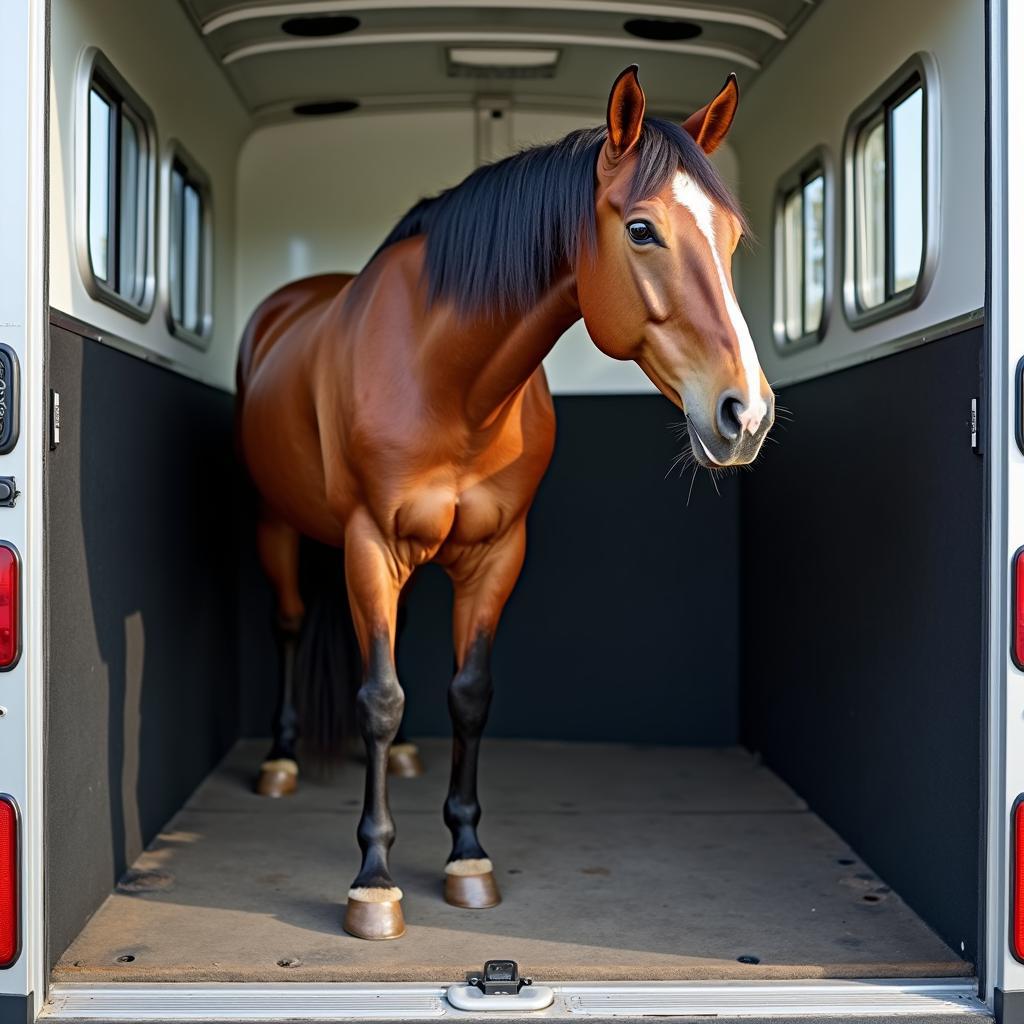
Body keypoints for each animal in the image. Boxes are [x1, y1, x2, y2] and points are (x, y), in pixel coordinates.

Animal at [234, 68, 774, 937]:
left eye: (728, 238)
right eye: (643, 230)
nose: (746, 415)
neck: (449, 382)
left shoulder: (495, 554)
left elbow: (468, 695)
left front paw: (467, 855)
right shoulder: (368, 544)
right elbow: (380, 699)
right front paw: (374, 881)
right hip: (276, 524)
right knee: (289, 626)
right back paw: (281, 760)